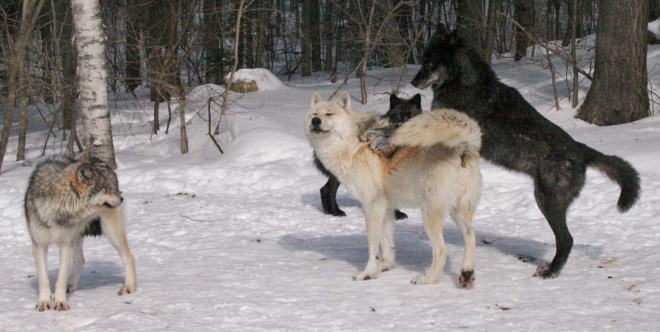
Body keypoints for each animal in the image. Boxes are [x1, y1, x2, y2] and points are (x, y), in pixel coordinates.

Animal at [24, 154, 137, 310]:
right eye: (105, 188)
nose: (121, 198)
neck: (59, 208)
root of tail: (100, 161)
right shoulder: (40, 245)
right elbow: (44, 279)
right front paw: (44, 302)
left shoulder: (65, 245)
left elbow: (60, 279)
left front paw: (60, 303)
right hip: (77, 236)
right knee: (81, 260)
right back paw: (71, 285)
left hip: (110, 231)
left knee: (129, 257)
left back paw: (129, 287)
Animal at [306, 91, 482, 286]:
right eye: (314, 114)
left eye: (329, 114)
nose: (315, 121)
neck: (352, 145)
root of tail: (463, 147)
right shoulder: (387, 208)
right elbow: (387, 243)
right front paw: (386, 266)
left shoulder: (372, 207)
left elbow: (374, 247)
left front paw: (368, 273)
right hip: (457, 212)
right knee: (471, 234)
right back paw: (466, 273)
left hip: (430, 214)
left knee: (442, 250)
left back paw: (427, 279)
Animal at [410, 26, 640, 278]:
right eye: (423, 60)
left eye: (430, 63)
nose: (413, 81)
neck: (464, 83)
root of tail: (581, 150)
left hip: (546, 202)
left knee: (567, 240)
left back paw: (551, 271)